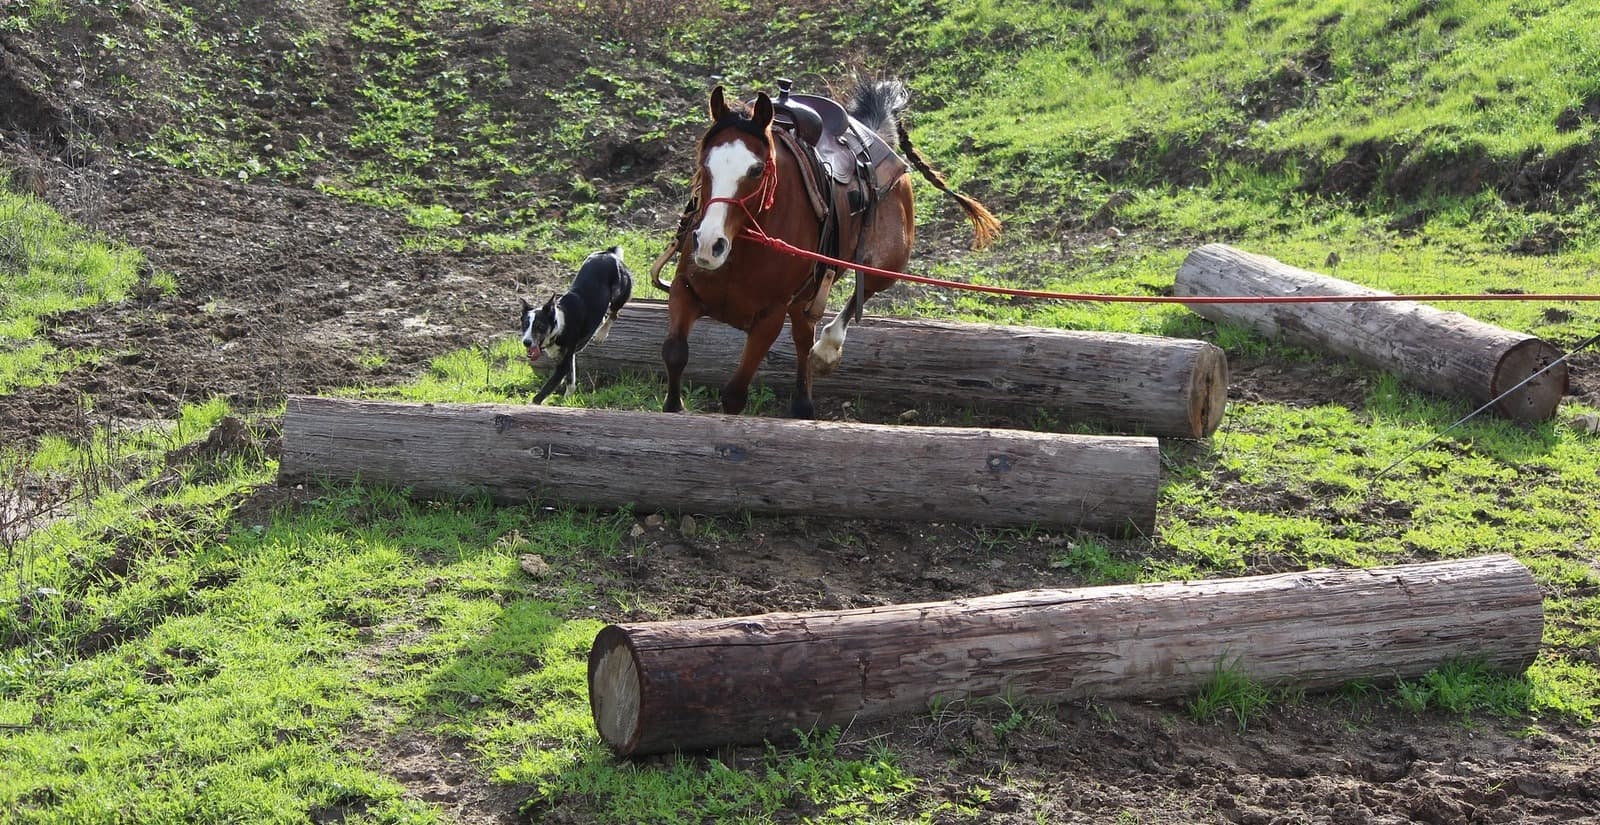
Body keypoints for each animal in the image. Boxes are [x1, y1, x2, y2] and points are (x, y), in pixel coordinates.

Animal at [518, 244, 630, 402]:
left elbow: (548, 387)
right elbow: (571, 379)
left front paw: (535, 403)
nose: (526, 342)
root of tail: (609, 253)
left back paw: (601, 335)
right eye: (525, 325)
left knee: (614, 313)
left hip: (620, 293)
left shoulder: (565, 359)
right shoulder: (567, 356)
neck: (559, 326)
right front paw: (567, 398)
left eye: (540, 326)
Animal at [659, 79, 985, 418]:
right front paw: (674, 406)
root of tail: (876, 132)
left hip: (886, 268)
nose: (710, 244)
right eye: (703, 163)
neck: (743, 252)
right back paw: (804, 401)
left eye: (757, 170)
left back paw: (826, 352)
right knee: (804, 334)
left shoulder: (770, 318)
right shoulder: (684, 290)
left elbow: (735, 393)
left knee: (856, 298)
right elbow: (675, 353)